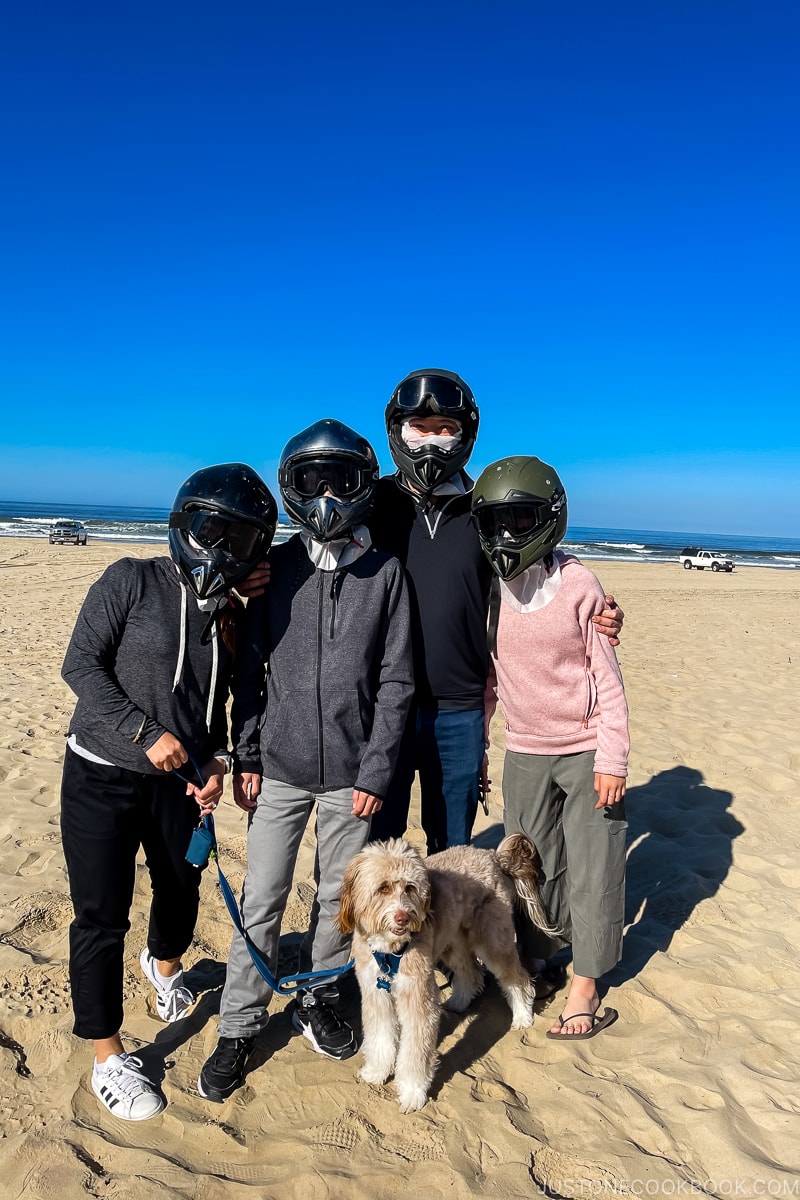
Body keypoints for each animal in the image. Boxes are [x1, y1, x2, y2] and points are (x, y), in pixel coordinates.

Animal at [335, 835, 551, 1104]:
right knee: (471, 974)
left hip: (491, 941)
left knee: (517, 978)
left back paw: (522, 1016)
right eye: (382, 888)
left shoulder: (417, 995)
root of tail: (492, 856)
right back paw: (458, 1003)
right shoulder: (376, 992)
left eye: (410, 888)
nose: (403, 917)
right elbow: (380, 1037)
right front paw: (376, 1072)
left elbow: (415, 1050)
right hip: (453, 943)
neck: (388, 949)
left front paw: (413, 1092)